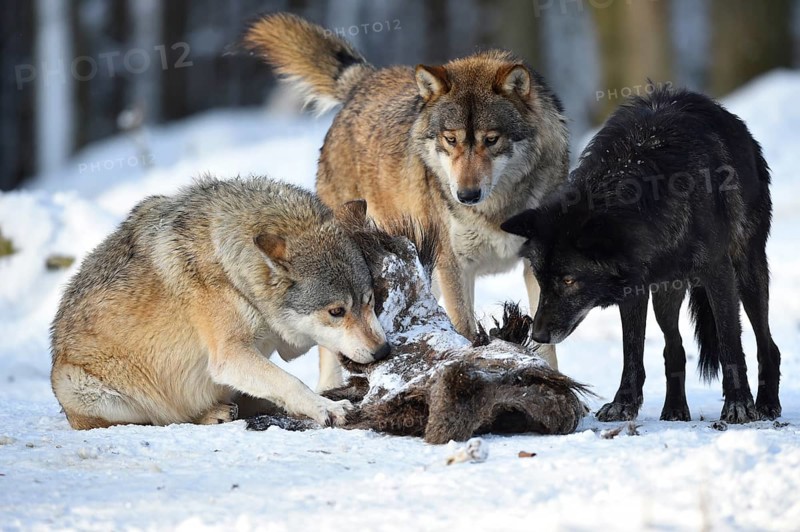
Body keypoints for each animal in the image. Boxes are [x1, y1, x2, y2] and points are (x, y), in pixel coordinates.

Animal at [50, 177, 389, 430]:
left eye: (369, 300)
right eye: (336, 311)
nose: (383, 351)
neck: (232, 269)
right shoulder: (230, 355)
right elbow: (291, 382)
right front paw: (327, 408)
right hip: (82, 388)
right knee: (163, 418)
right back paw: (214, 413)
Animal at [242, 13, 570, 388]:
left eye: (491, 139)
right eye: (451, 139)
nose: (466, 195)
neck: (496, 209)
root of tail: (365, 81)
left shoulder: (532, 265)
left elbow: (545, 344)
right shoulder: (455, 268)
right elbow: (465, 331)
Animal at [502, 87, 781, 424]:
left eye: (569, 281)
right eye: (541, 280)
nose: (539, 335)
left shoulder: (718, 273)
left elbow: (730, 342)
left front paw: (739, 404)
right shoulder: (634, 287)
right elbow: (632, 350)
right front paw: (623, 403)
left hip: (748, 274)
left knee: (767, 343)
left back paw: (766, 404)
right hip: (666, 293)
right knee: (673, 348)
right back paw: (674, 410)